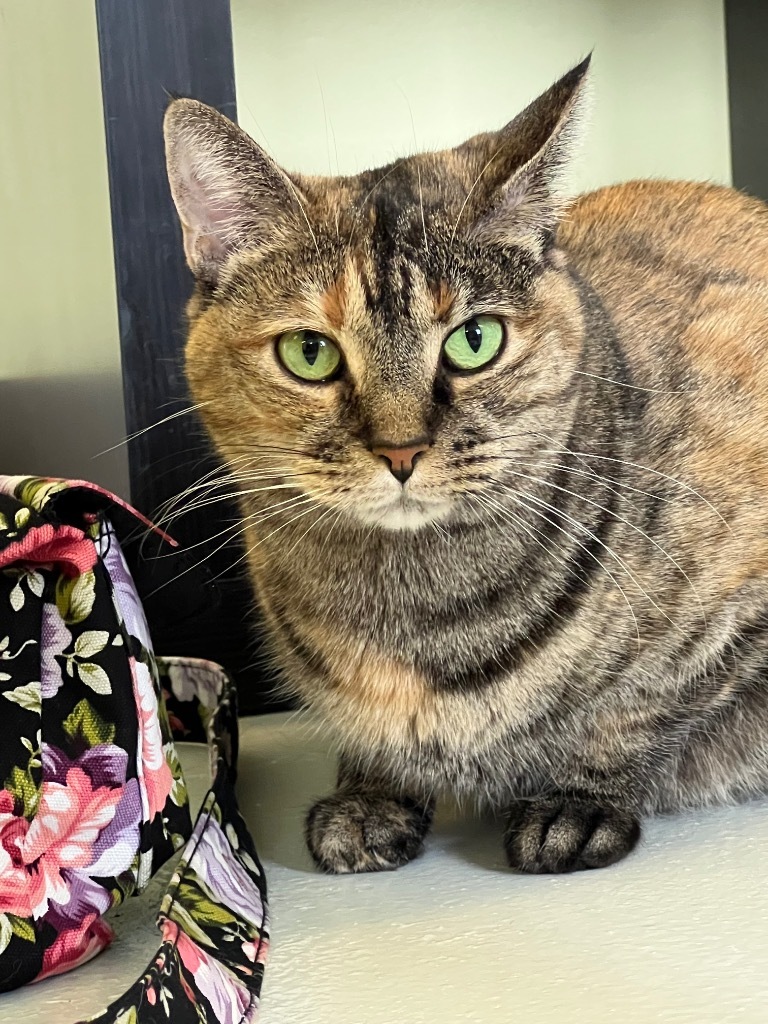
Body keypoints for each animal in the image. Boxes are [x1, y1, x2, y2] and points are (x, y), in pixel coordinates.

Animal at [162, 56, 768, 872]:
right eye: (309, 352)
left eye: (474, 340)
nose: (400, 449)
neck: (411, 613)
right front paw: (370, 794)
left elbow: (642, 703)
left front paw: (576, 800)